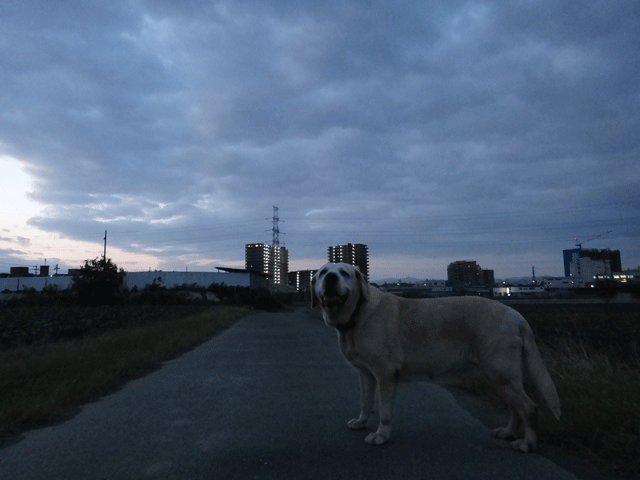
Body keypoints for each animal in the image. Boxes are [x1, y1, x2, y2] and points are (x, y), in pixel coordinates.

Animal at [312, 262, 560, 454]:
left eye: (344, 273)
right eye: (323, 272)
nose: (331, 278)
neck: (357, 313)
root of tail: (516, 315)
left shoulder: (386, 374)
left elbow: (384, 411)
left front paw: (381, 435)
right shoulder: (365, 375)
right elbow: (365, 402)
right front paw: (361, 422)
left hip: (501, 373)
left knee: (529, 408)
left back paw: (527, 444)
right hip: (501, 376)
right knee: (516, 408)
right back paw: (508, 432)